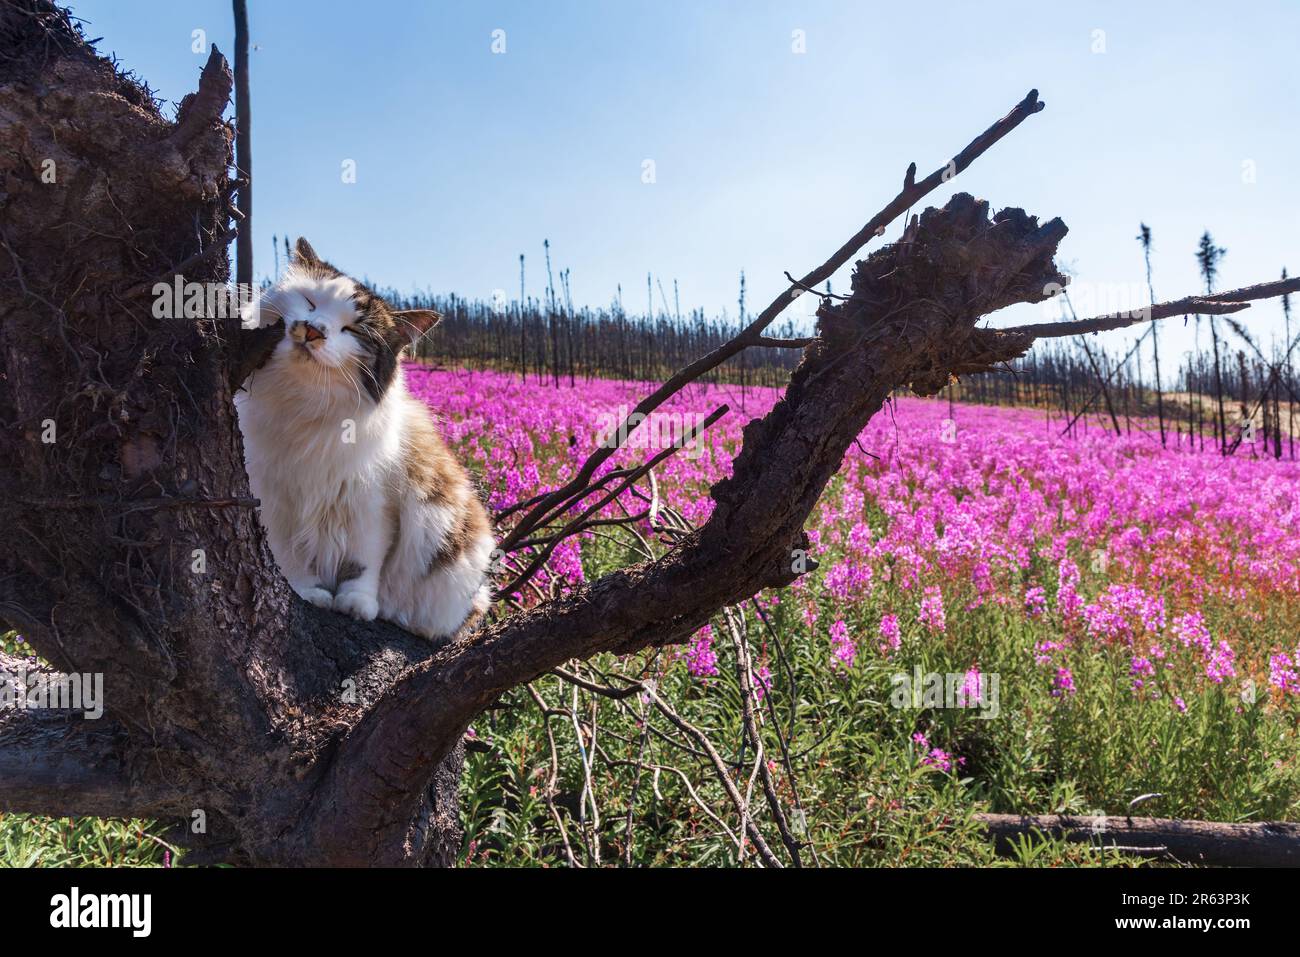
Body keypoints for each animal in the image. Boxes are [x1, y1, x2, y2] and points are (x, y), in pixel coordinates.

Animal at [236, 237, 493, 642]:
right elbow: (289, 557)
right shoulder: (273, 500)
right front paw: (306, 590)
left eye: (352, 331)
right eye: (310, 302)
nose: (313, 330)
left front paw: (356, 603)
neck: (303, 404)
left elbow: (363, 562)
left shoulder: (373, 504)